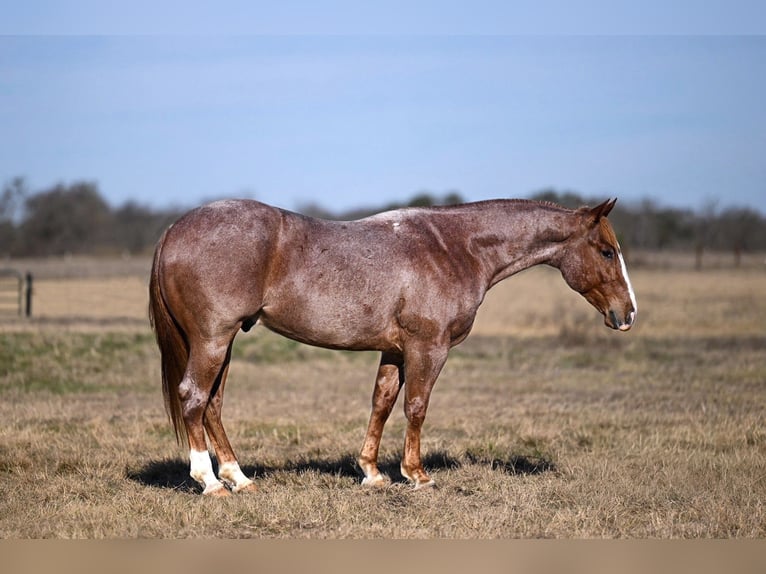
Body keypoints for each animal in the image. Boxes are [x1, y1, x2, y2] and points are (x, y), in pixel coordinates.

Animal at [149, 197, 636, 496]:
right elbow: (416, 406)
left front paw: (372, 472)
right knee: (194, 397)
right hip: (213, 340)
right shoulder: (428, 348)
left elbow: (381, 403)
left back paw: (239, 477)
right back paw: (210, 481)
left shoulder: (395, 351)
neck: (454, 248)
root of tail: (173, 229)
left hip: (224, 342)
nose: (627, 314)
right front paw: (417, 474)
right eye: (607, 251)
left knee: (213, 404)